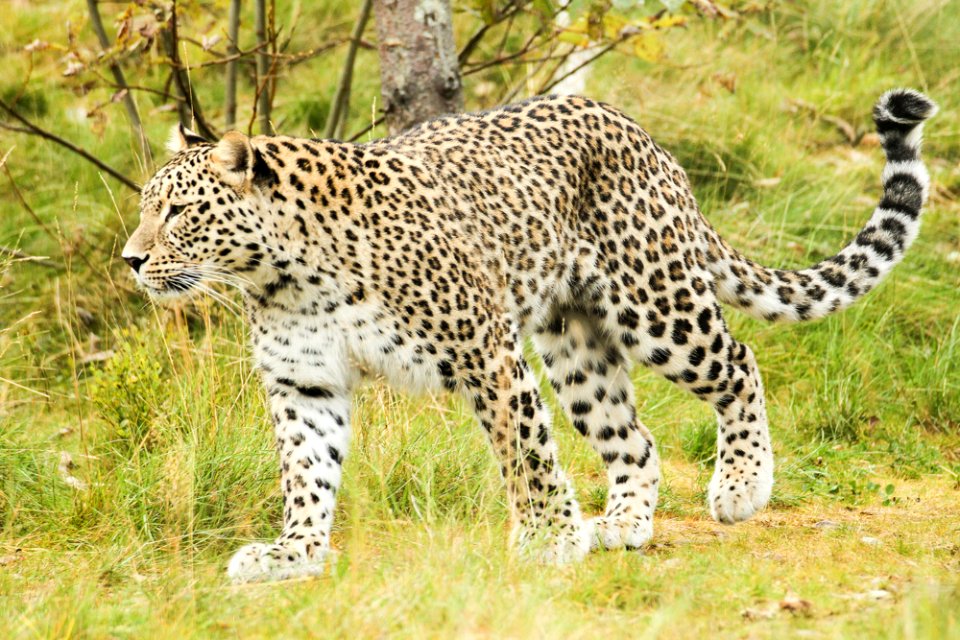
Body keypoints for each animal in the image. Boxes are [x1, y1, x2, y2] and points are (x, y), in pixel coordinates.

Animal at [122, 89, 936, 584]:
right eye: (144, 209)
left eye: (177, 211)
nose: (130, 259)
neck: (283, 274)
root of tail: (636, 129)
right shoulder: (305, 382)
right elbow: (305, 475)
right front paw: (292, 553)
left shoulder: (484, 350)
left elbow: (525, 451)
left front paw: (549, 539)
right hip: (574, 343)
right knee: (634, 438)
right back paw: (624, 524)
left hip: (656, 303)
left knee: (739, 361)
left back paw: (739, 486)